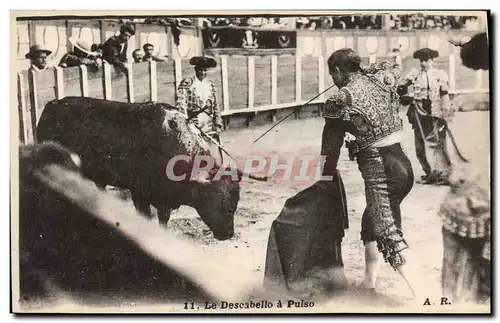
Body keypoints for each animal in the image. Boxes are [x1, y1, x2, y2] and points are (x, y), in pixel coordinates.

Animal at [35, 97, 268, 242]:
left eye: (235, 203)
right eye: (216, 202)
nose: (228, 234)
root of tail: (52, 105)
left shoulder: (163, 198)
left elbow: (163, 218)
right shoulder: (139, 193)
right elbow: (146, 215)